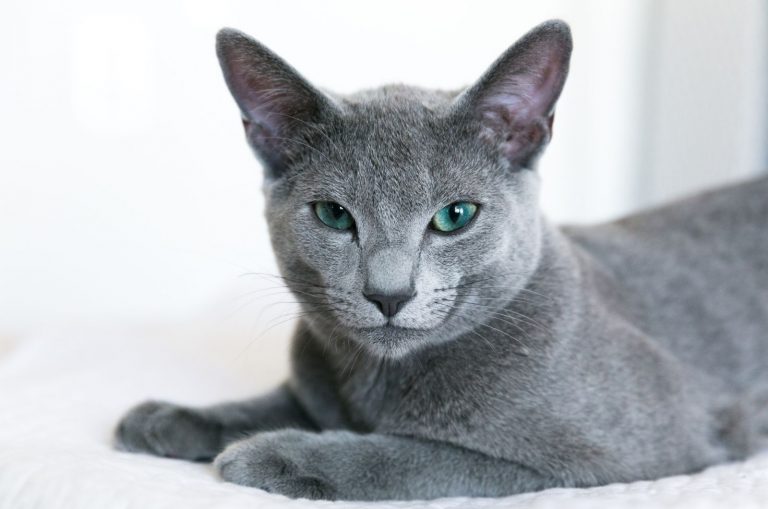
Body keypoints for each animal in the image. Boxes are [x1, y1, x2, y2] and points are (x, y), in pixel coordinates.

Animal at [114, 20, 768, 500]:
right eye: (333, 215)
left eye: (455, 216)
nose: (388, 292)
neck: (376, 384)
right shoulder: (314, 384)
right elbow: (283, 399)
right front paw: (169, 417)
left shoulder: (606, 458)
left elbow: (411, 456)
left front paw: (271, 452)